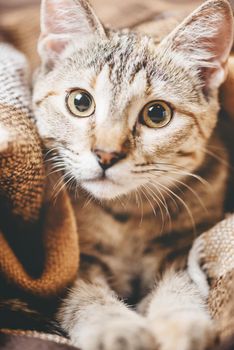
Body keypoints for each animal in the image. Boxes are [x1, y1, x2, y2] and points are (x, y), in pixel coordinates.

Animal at [32, 0, 234, 350]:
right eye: (80, 102)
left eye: (157, 114)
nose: (106, 154)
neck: (125, 214)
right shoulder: (70, 262)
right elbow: (85, 294)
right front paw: (114, 327)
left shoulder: (182, 246)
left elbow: (182, 283)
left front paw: (181, 322)